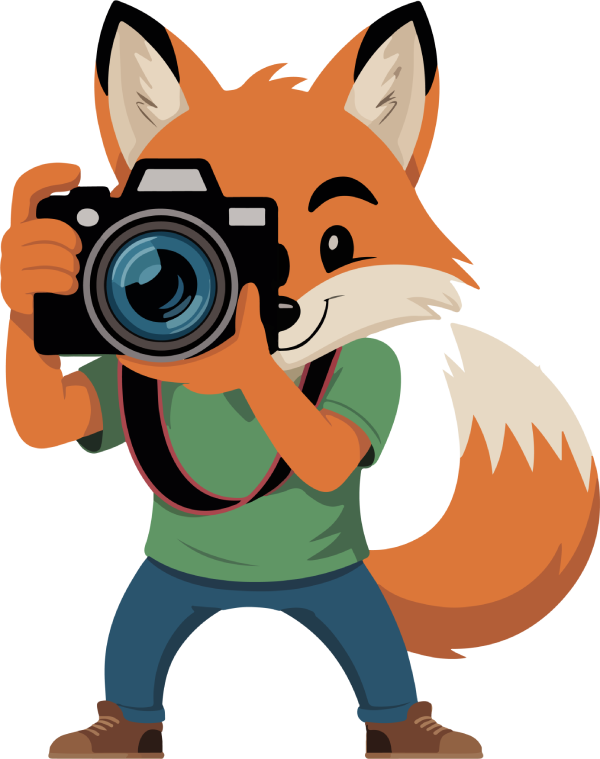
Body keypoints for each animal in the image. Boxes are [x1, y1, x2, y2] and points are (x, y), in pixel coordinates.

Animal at [1, 1, 597, 758]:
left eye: (337, 242)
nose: (280, 311)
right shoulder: (117, 376)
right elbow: (57, 418)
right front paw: (22, 266)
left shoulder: (376, 373)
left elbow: (329, 451)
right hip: (164, 592)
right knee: (135, 641)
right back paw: (116, 728)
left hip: (346, 594)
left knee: (377, 652)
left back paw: (413, 730)